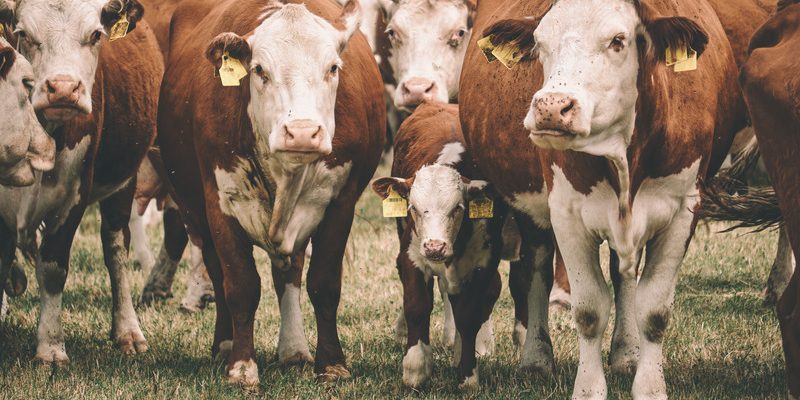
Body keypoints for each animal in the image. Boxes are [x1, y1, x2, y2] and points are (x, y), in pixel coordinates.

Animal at [0, 0, 162, 363]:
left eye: (96, 34)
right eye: (22, 33)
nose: (62, 88)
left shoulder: (73, 197)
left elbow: (53, 267)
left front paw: (50, 348)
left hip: (124, 184)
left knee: (116, 249)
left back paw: (128, 330)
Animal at [157, 0, 385, 385]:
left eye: (333, 67)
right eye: (259, 70)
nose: (303, 132)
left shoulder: (340, 202)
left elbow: (324, 284)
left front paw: (331, 363)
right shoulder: (221, 202)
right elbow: (240, 284)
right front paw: (241, 365)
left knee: (288, 274)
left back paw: (293, 349)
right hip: (194, 211)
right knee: (217, 273)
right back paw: (225, 346)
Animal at [372, 102, 504, 388]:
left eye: (458, 208)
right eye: (413, 207)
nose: (435, 247)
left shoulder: (483, 263)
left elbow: (469, 315)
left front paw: (468, 374)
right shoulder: (411, 256)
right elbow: (417, 306)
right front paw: (416, 369)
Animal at [477, 0, 742, 398]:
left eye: (618, 40)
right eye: (540, 42)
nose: (551, 107)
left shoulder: (683, 211)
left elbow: (654, 310)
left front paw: (649, 386)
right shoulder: (566, 214)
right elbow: (588, 311)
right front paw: (588, 388)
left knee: (624, 277)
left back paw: (627, 353)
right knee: (536, 271)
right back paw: (536, 358)